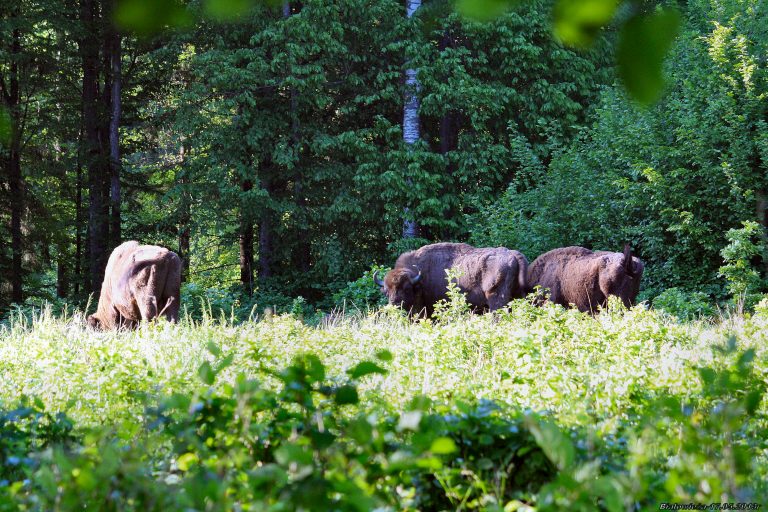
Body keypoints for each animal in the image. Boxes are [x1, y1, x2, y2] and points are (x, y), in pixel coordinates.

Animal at [372, 243, 528, 316]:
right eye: (386, 291)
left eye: (406, 288)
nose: (394, 304)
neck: (420, 277)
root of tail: (513, 254)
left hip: (496, 299)